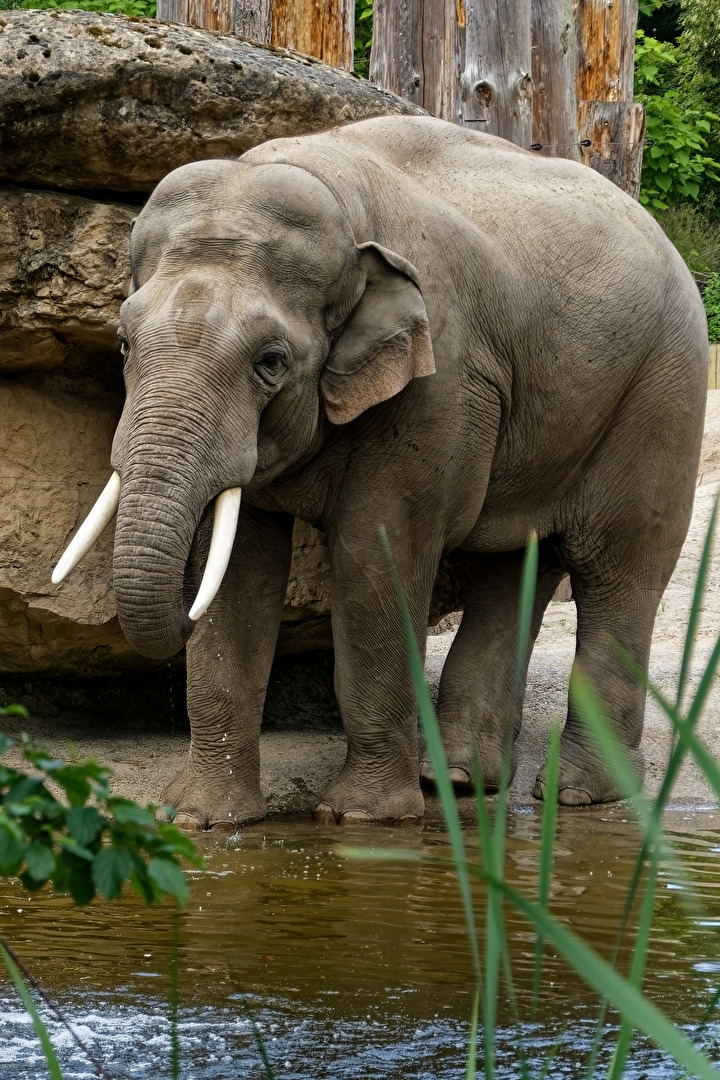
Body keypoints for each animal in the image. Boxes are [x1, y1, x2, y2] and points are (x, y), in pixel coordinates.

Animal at [52, 115, 707, 828]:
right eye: (122, 343)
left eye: (271, 361)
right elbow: (236, 575)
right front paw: (202, 818)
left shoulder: (439, 382)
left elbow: (374, 555)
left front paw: (361, 818)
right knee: (508, 567)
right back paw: (460, 780)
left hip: (663, 392)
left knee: (618, 570)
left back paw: (581, 795)